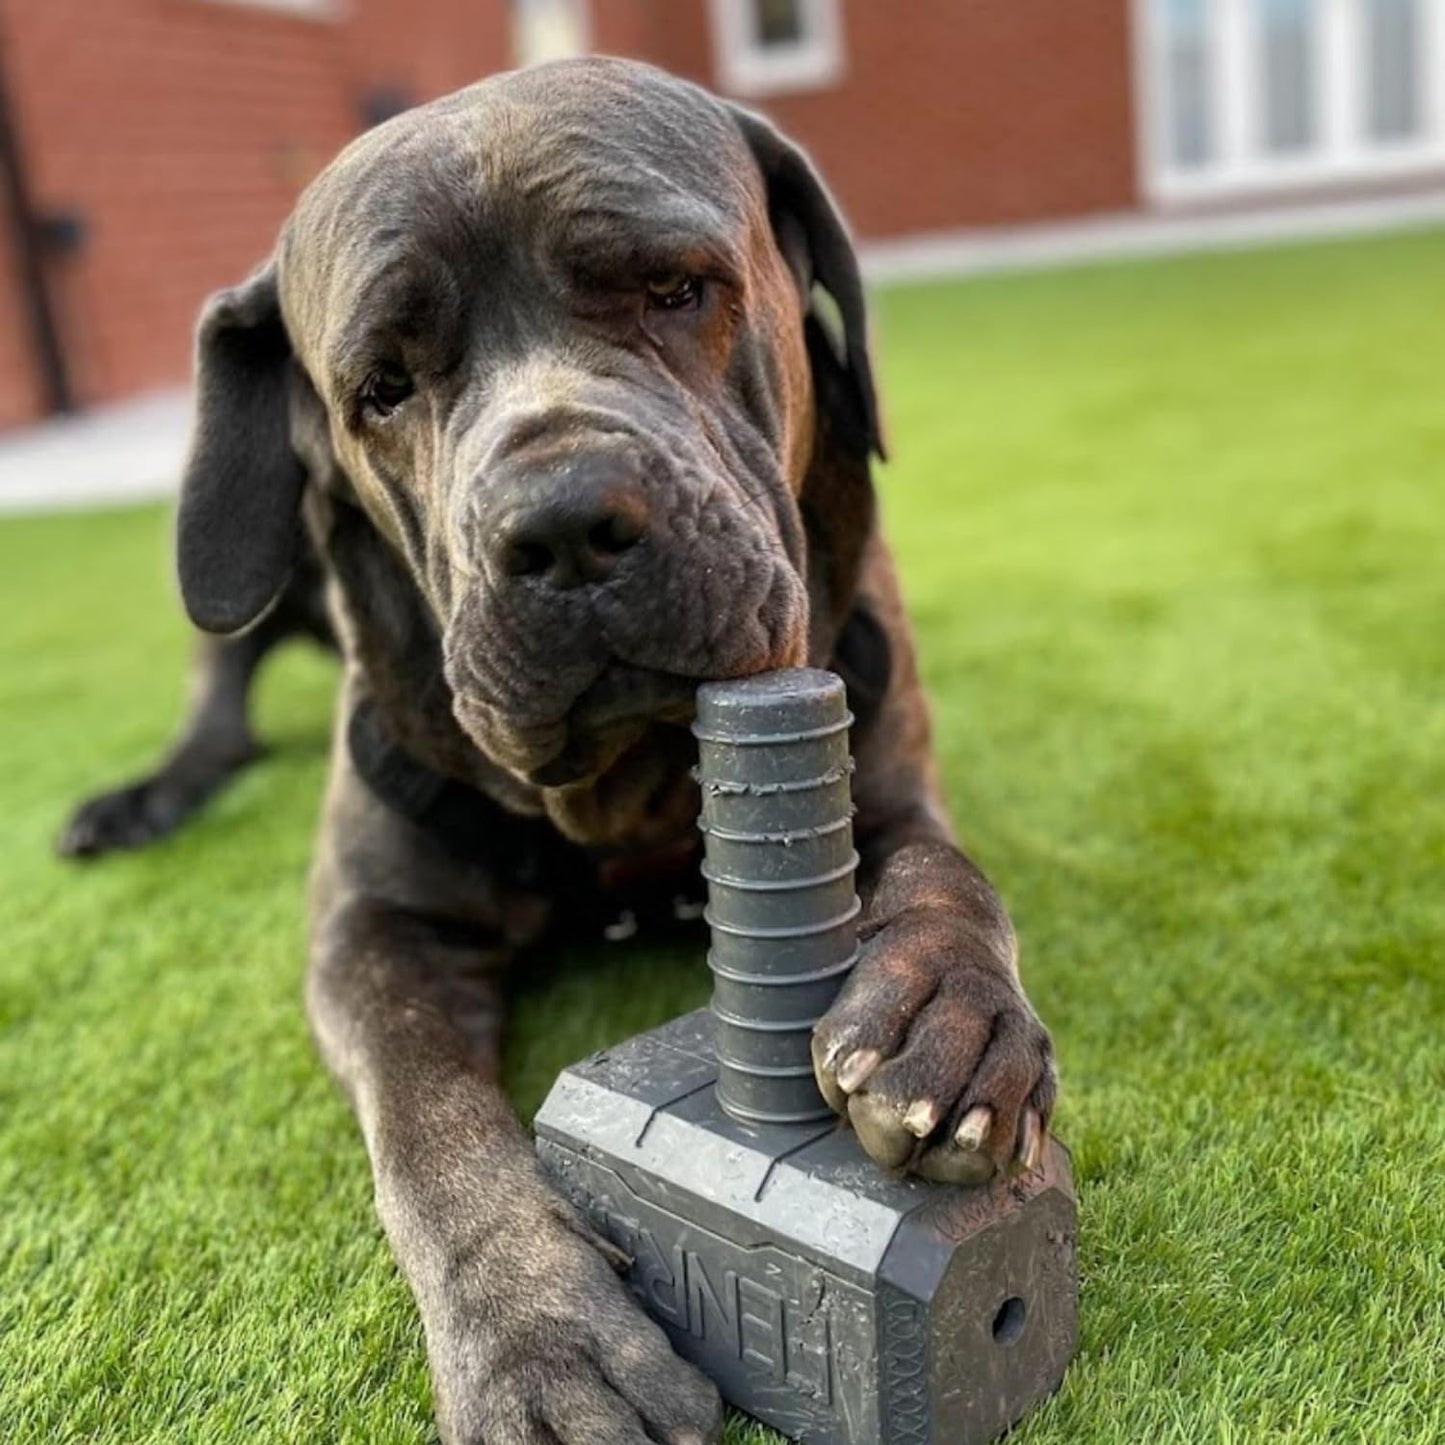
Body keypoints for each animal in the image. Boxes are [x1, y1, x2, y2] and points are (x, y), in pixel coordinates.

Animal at [62, 62, 1057, 1445]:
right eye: (381, 384)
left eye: (675, 287)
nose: (565, 523)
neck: (620, 798)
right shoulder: (371, 928)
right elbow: (426, 1123)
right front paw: (537, 1338)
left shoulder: (889, 771)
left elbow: (947, 876)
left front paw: (943, 1013)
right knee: (219, 690)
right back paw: (141, 798)